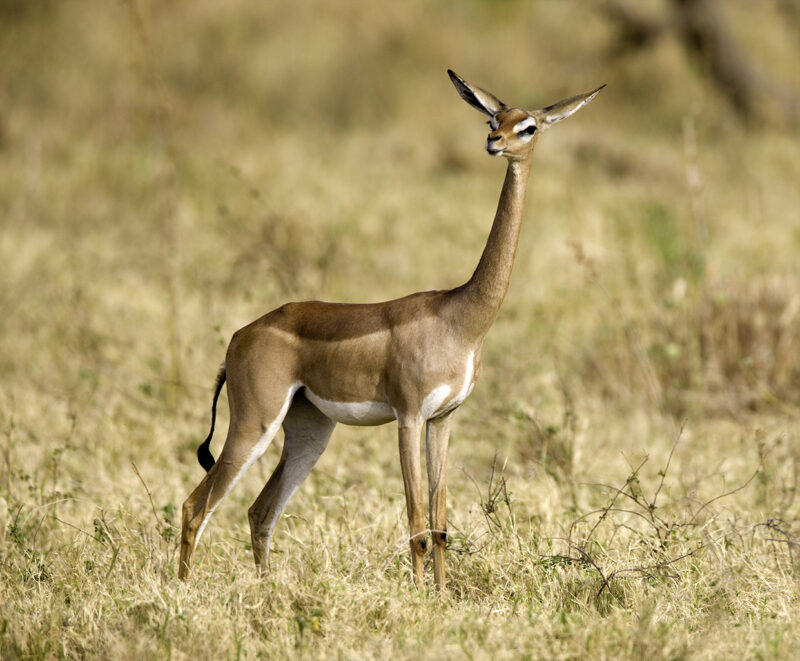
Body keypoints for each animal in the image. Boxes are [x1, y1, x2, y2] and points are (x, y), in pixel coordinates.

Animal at [179, 70, 604, 590]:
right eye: (493, 119)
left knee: (259, 512)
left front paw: (442, 596)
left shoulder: (444, 419)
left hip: (309, 432)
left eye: (529, 126)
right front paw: (421, 598)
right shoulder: (409, 416)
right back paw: (181, 591)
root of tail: (240, 336)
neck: (461, 318)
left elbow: (440, 525)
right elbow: (417, 524)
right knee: (195, 507)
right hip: (253, 423)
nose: (494, 143)